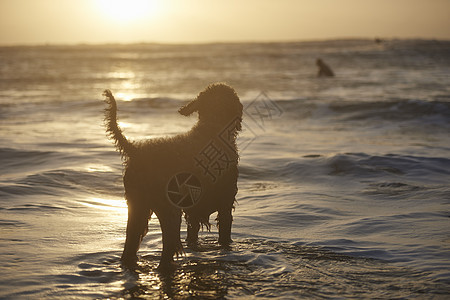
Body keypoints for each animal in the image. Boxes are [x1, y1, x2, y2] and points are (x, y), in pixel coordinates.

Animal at [103, 82, 243, 270]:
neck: (212, 129)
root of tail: (136, 150)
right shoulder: (225, 203)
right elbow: (225, 234)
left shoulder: (194, 212)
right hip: (168, 208)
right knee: (168, 245)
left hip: (137, 206)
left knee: (130, 244)